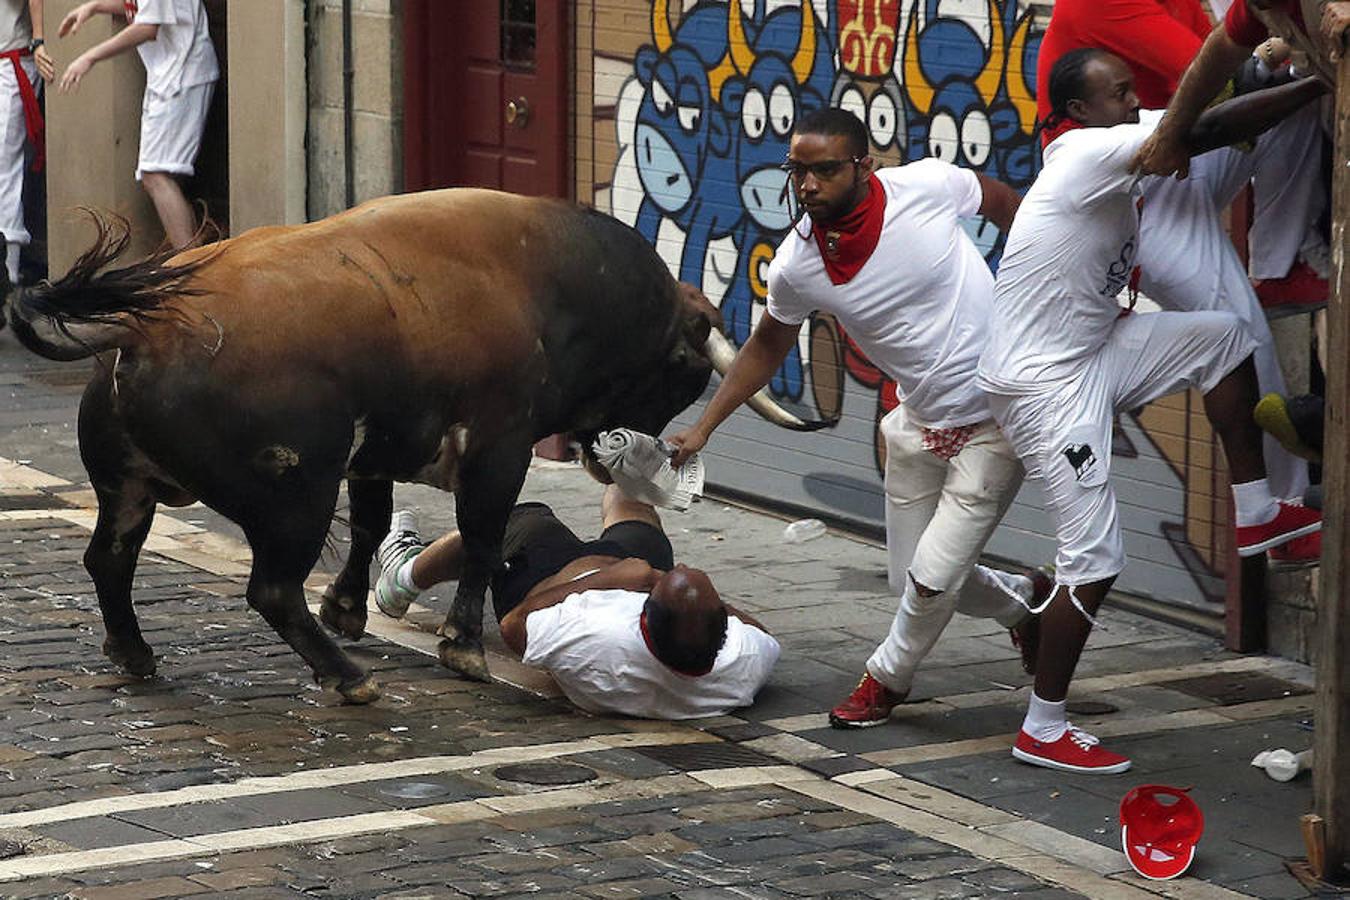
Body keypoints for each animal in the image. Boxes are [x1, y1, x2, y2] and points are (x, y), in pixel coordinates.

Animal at [5, 190, 820, 701]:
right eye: (681, 368)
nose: (618, 452)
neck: (545, 282)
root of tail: (144, 329)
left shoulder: (376, 456)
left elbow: (370, 526)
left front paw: (348, 608)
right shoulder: (498, 447)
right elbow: (483, 538)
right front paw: (462, 645)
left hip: (128, 488)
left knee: (109, 559)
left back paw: (135, 652)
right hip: (295, 499)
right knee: (270, 590)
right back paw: (346, 678)